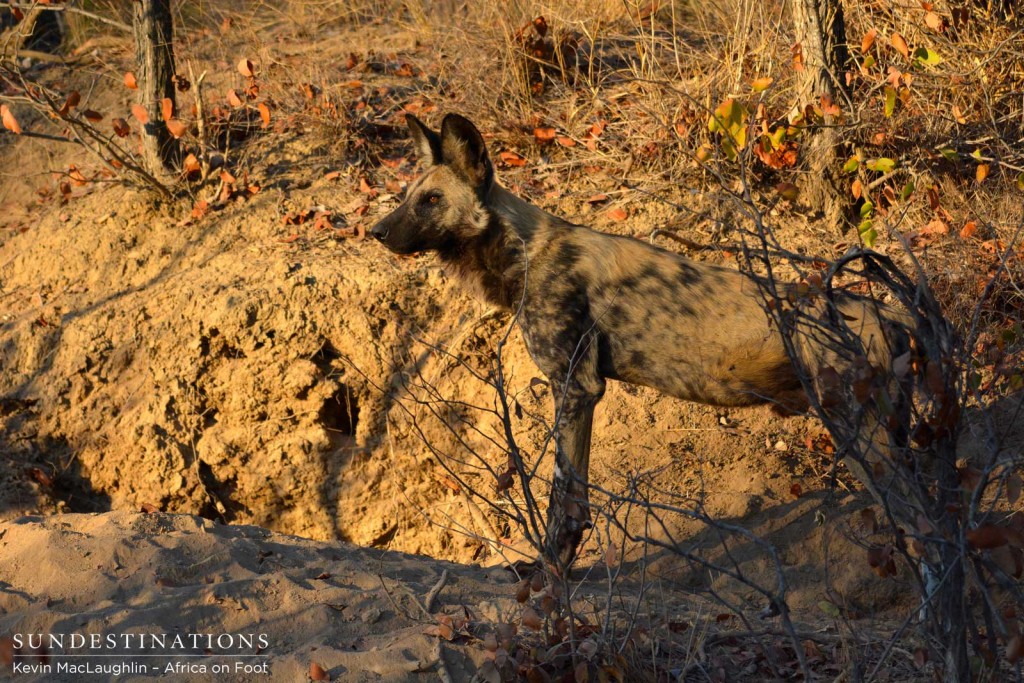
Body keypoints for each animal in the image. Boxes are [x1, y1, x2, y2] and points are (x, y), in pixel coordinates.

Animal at [370, 113, 913, 573]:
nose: (376, 231)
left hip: (859, 434)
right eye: (406, 195)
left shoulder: (576, 389)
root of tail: (886, 313)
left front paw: (550, 572)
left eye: (431, 200)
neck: (523, 252)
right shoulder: (580, 392)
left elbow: (563, 498)